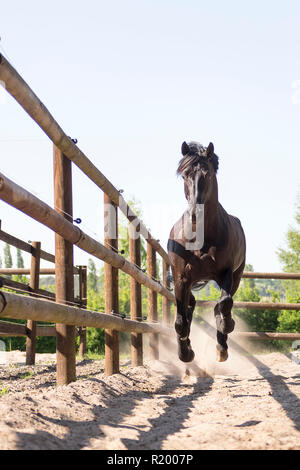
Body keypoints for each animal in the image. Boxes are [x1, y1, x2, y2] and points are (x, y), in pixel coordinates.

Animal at [168, 141, 245, 362]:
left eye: (207, 174)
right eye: (184, 174)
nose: (195, 213)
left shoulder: (226, 273)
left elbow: (225, 303)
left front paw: (226, 326)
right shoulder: (181, 278)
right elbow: (180, 322)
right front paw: (185, 353)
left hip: (236, 276)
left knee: (221, 303)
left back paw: (221, 347)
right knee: (189, 309)